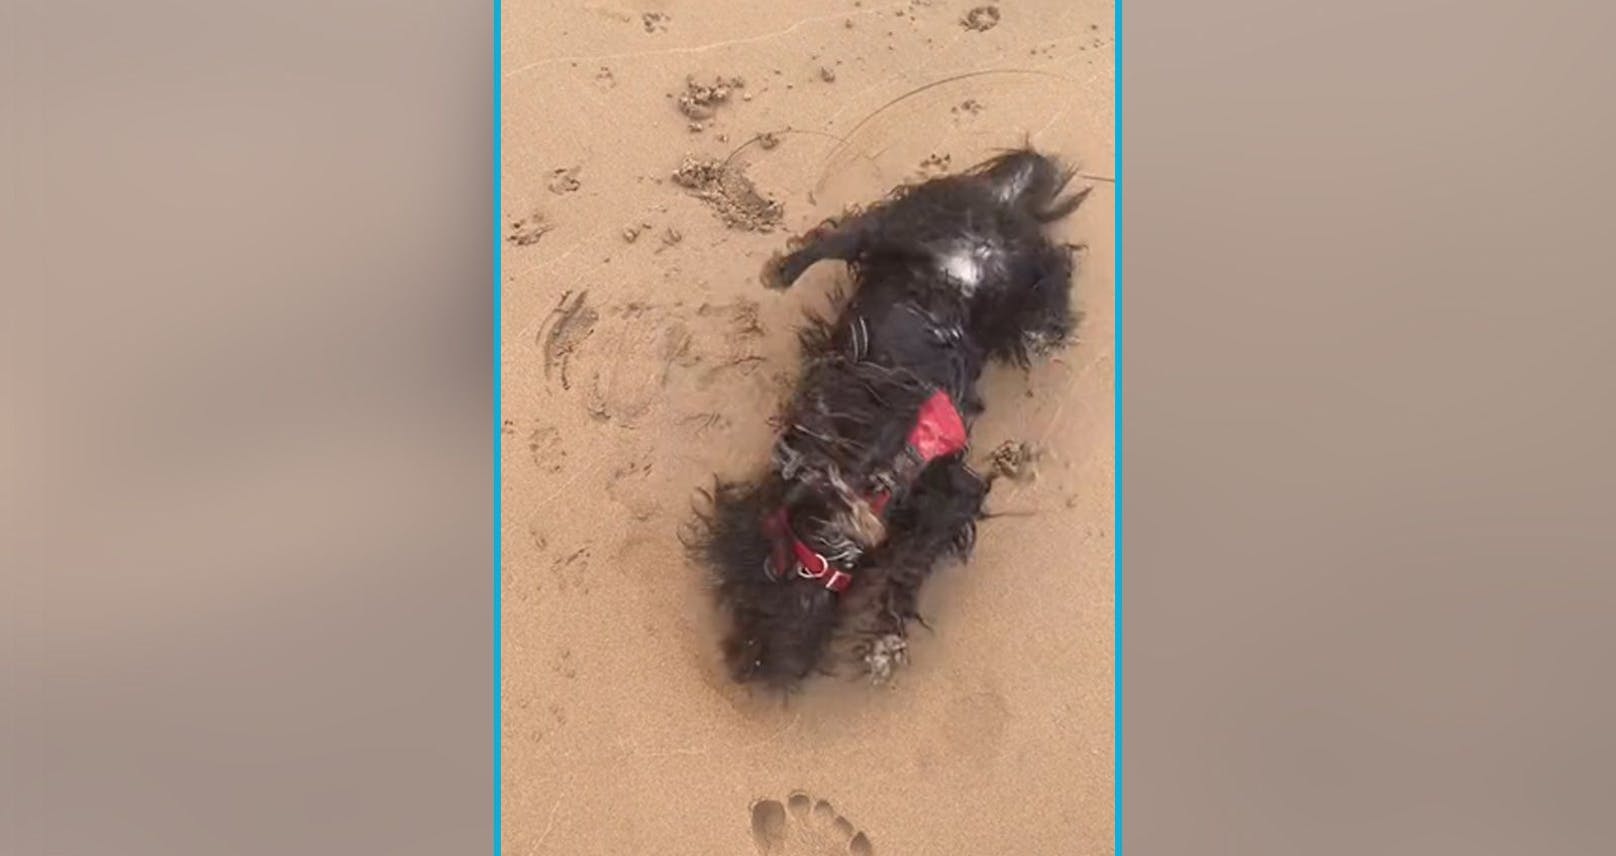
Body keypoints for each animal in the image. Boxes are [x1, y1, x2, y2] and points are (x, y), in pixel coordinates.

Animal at [691, 148, 1085, 684]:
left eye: (747, 603)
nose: (741, 667)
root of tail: (992, 208)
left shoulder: (952, 492)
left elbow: (910, 566)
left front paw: (885, 645)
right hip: (909, 234)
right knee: (850, 233)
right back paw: (783, 269)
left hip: (978, 258)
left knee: (1052, 268)